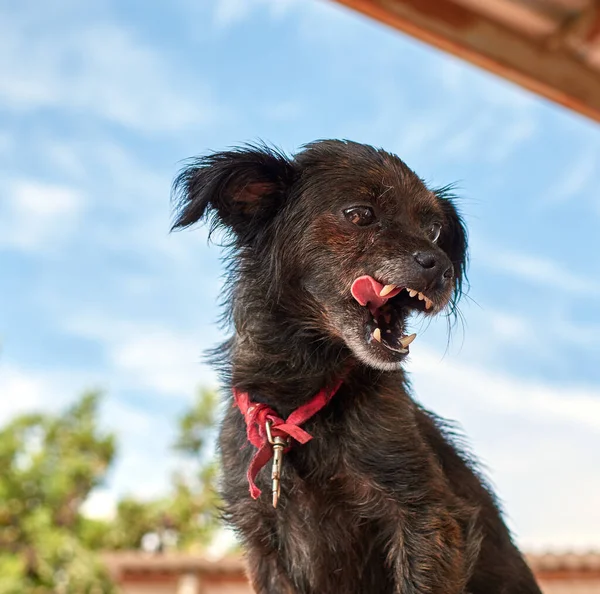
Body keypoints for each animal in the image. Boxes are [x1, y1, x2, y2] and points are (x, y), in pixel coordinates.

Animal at [171, 140, 540, 592]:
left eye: (435, 231)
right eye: (360, 214)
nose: (443, 266)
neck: (301, 402)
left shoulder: (426, 515)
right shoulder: (263, 544)